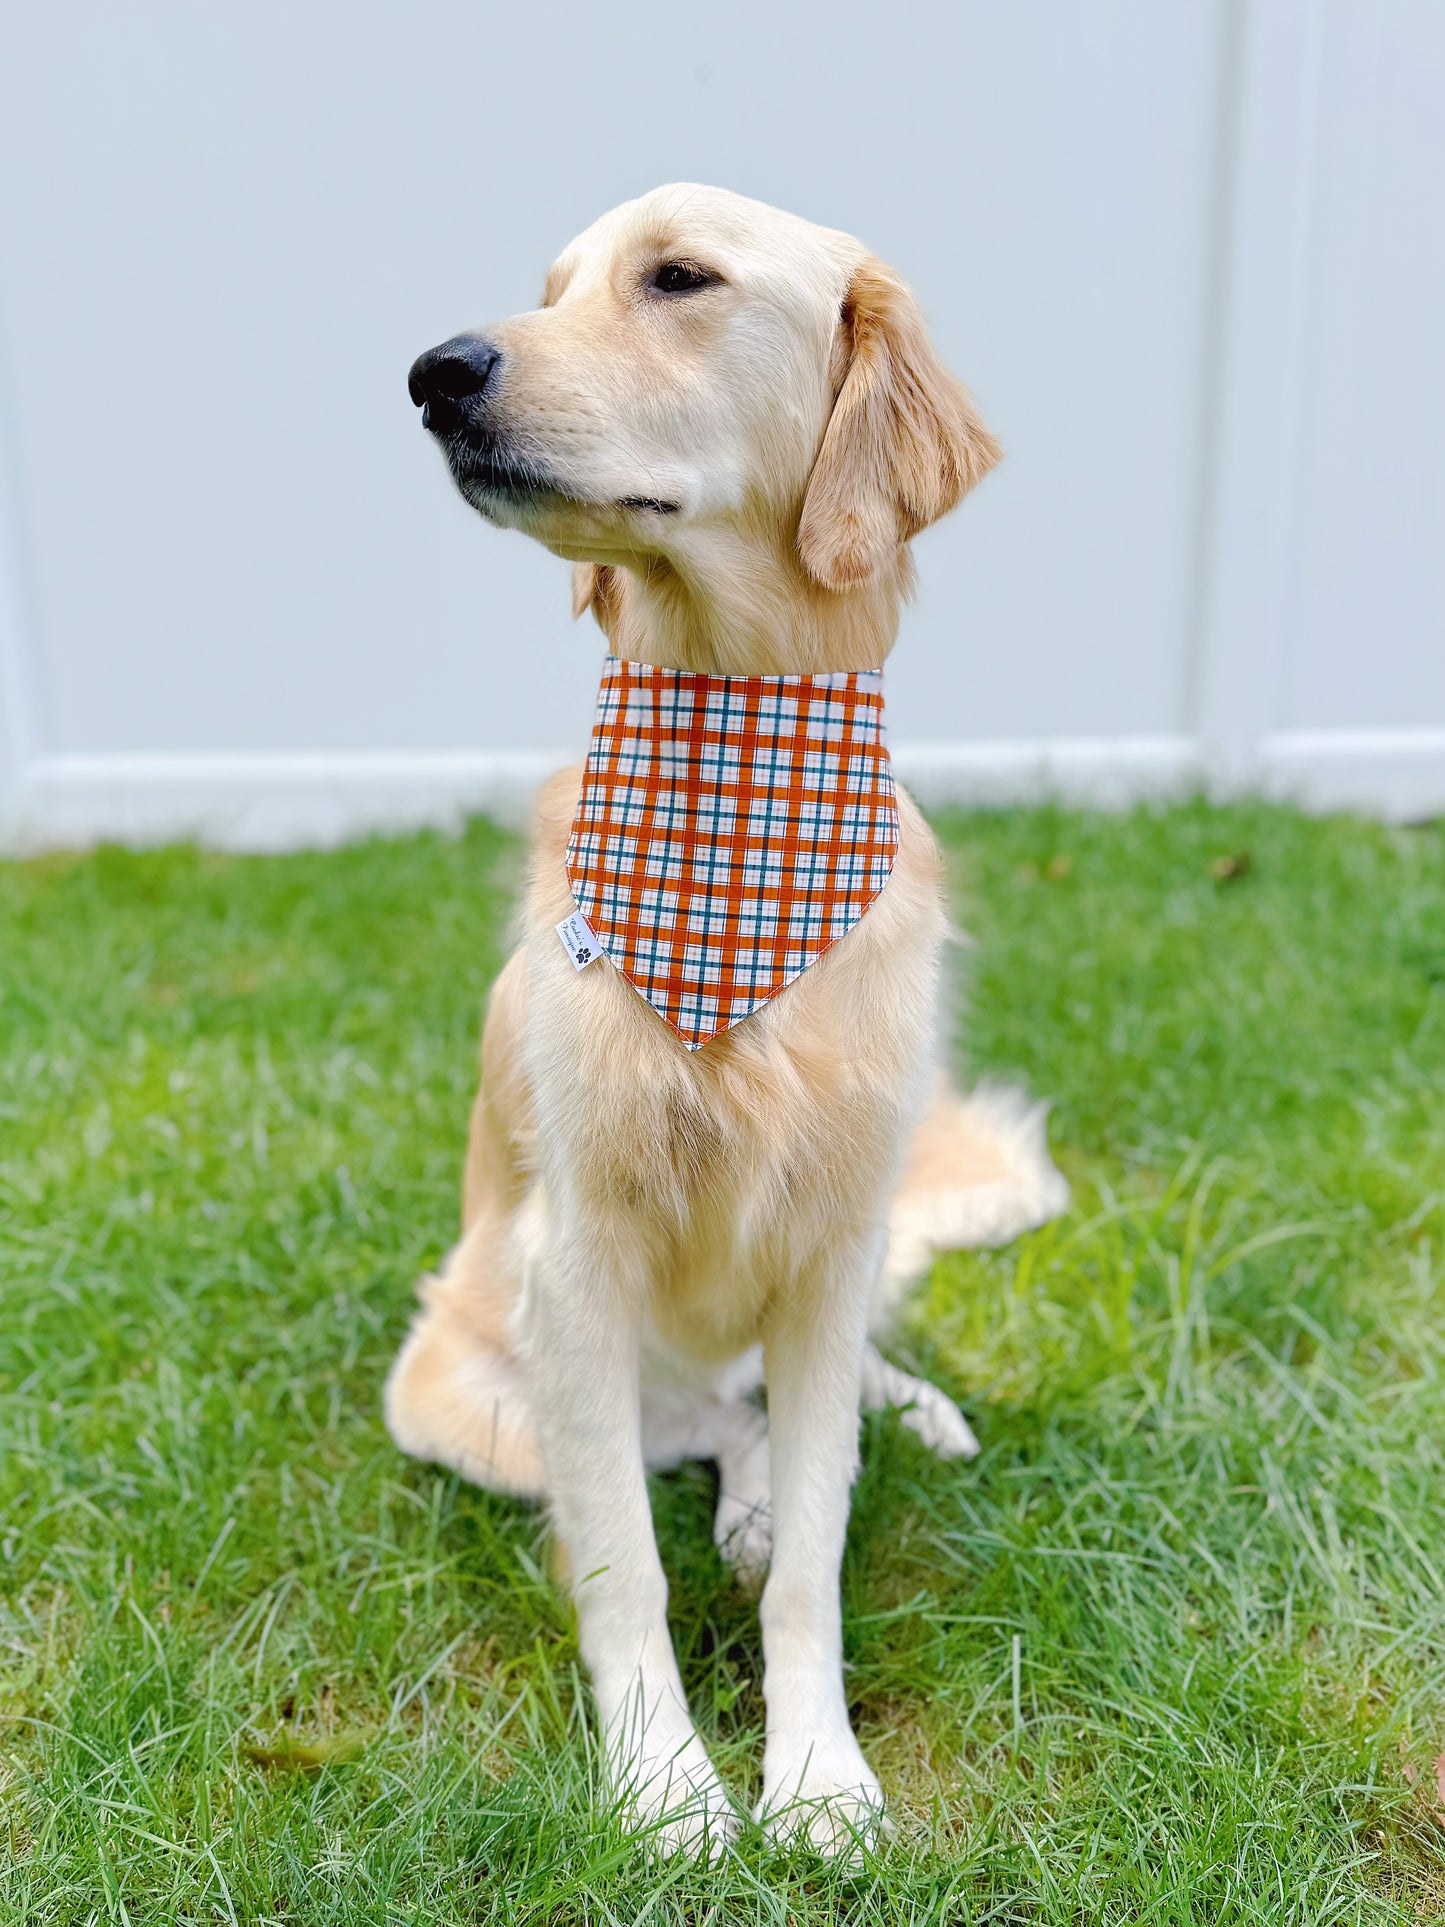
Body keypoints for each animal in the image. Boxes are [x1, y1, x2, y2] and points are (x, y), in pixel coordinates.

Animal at [391, 184, 1071, 1849]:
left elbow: (819, 1551)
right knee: (687, 1441)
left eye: (679, 278)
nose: (435, 372)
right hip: (460, 1392)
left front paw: (815, 1772)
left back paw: (889, 1423)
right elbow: (625, 1563)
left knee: (782, 1417)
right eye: (550, 288)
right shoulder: (578, 1262)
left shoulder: (829, 1245)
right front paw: (666, 1786)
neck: (739, 785)